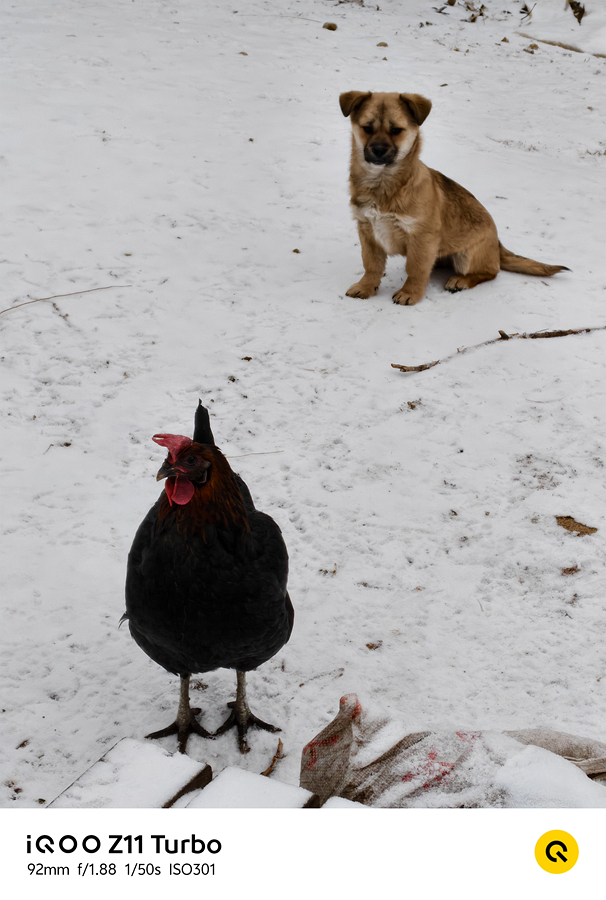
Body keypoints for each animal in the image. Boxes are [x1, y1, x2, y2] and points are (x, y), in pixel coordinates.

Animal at [339, 91, 568, 305]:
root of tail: (497, 245)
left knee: (491, 272)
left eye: (396, 130)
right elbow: (371, 265)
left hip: (466, 257)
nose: (378, 150)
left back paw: (460, 280)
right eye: (367, 128)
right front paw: (366, 287)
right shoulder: (367, 231)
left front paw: (410, 293)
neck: (383, 183)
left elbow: (416, 269)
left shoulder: (421, 237)